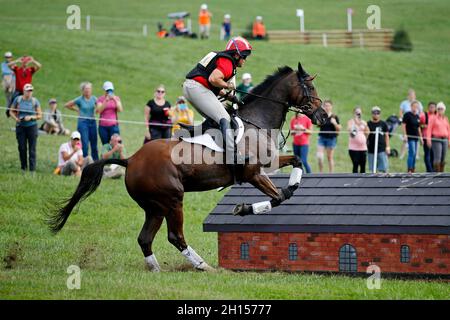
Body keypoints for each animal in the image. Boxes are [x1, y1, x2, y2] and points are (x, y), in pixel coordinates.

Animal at [47, 63, 326, 272]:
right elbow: (278, 197)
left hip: (154, 207)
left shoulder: (269, 165)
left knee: (145, 238)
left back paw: (156, 270)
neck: (256, 121)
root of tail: (131, 160)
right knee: (175, 236)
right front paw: (243, 208)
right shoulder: (254, 173)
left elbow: (296, 165)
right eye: (311, 86)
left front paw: (292, 185)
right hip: (172, 199)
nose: (323, 116)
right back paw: (203, 266)